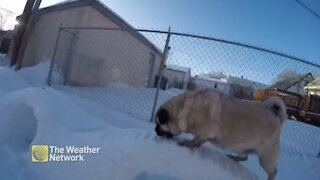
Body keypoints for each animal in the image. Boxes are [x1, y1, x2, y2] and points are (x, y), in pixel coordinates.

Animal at [154, 89, 286, 180]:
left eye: (158, 124)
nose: (155, 129)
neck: (185, 110)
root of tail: (277, 118)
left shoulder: (204, 133)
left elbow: (195, 142)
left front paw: (185, 145)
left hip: (265, 158)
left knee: (273, 171)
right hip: (244, 147)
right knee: (244, 157)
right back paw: (232, 157)